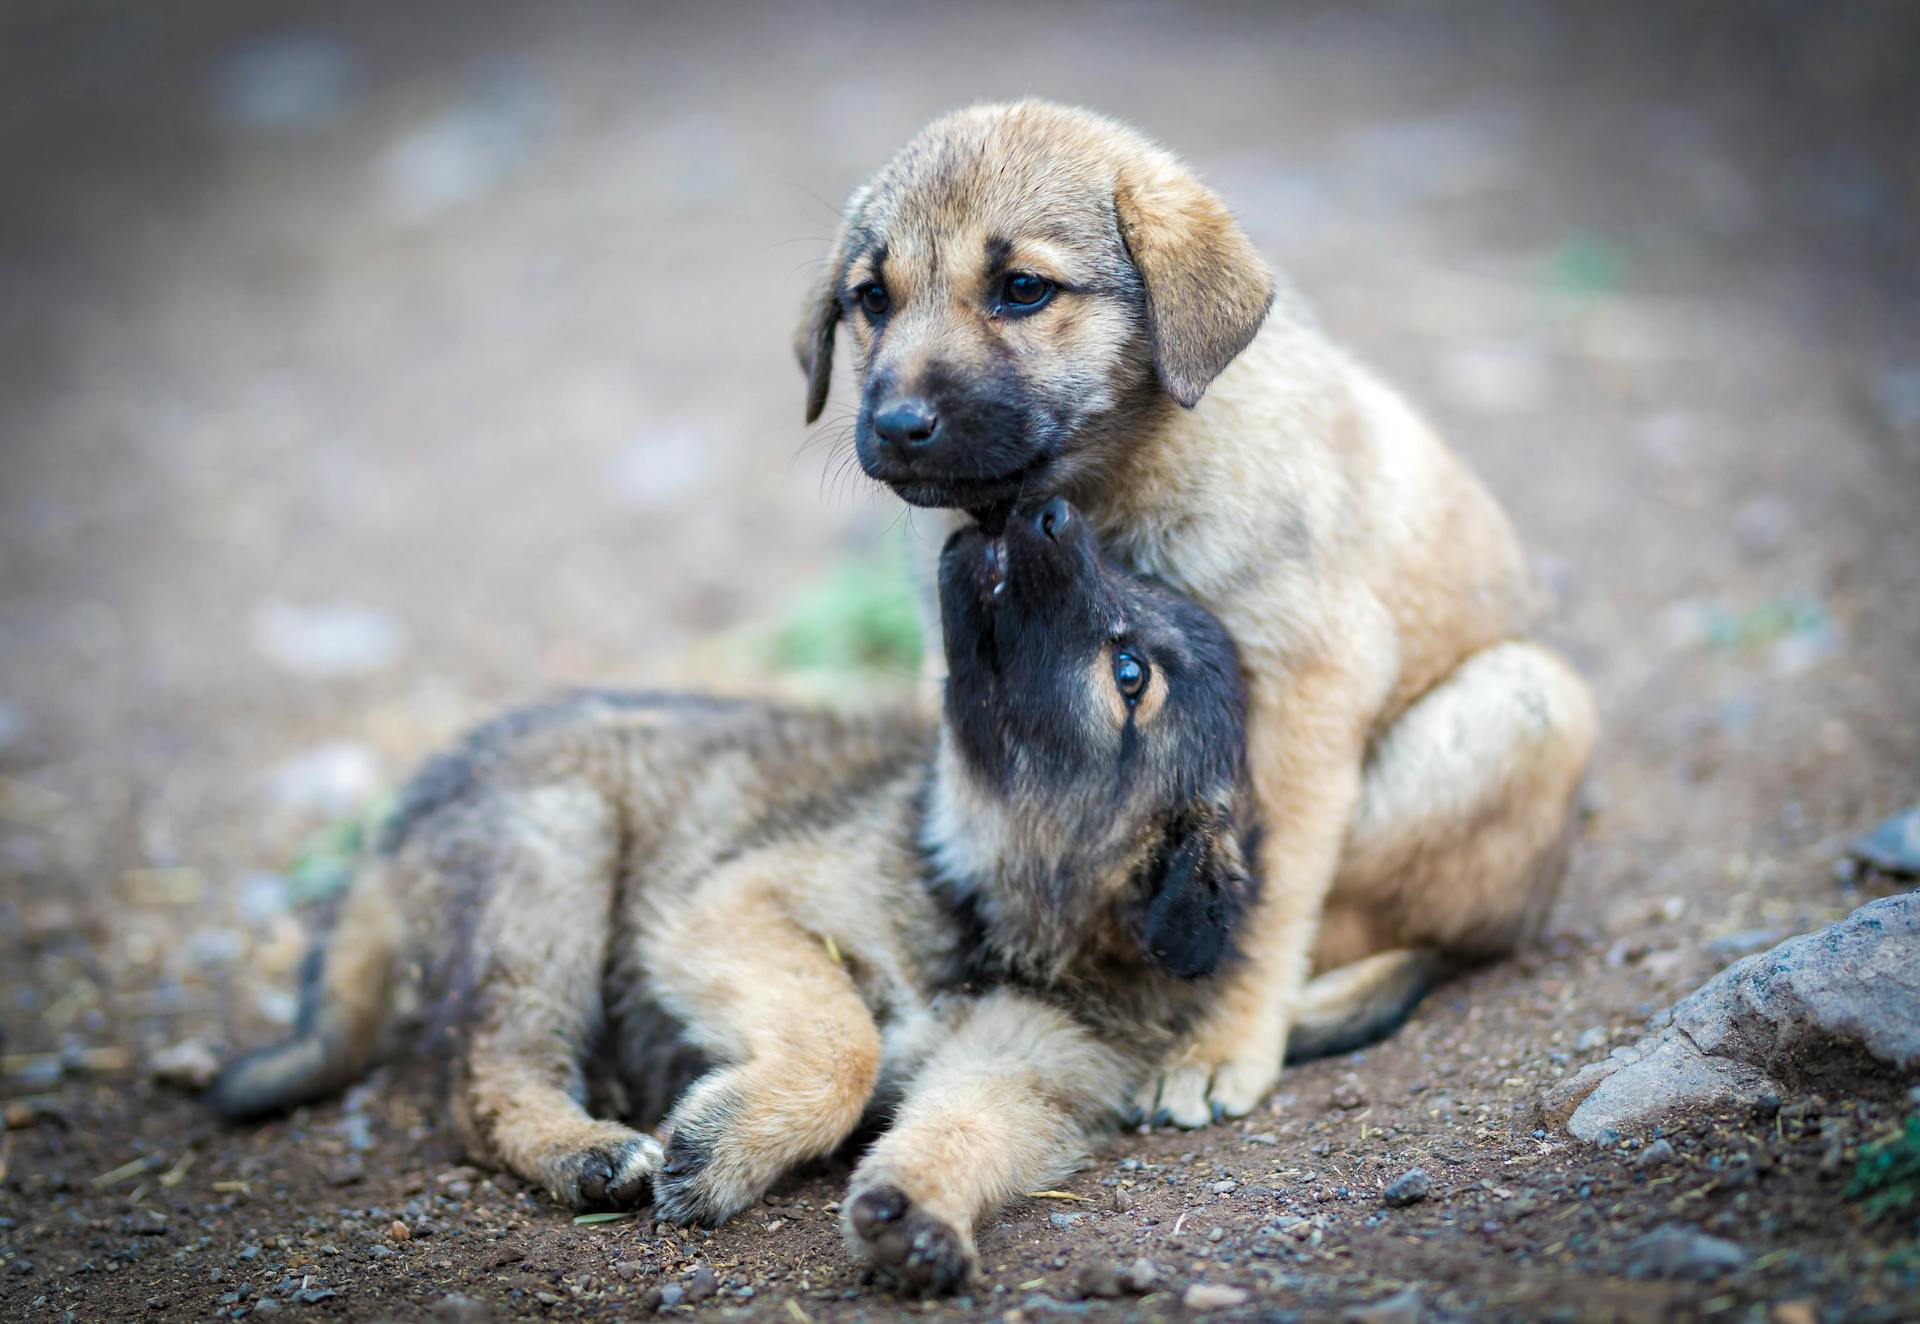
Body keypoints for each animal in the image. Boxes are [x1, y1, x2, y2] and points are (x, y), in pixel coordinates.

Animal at [210, 495, 1267, 1289]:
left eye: (1129, 673)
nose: (1047, 507)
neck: (986, 914)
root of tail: (398, 820)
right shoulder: (734, 902)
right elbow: (847, 1043)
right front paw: (722, 1150)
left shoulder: (1032, 1073)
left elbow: (965, 1128)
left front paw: (918, 1212)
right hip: (554, 859)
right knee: (488, 1080)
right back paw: (587, 1151)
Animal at [794, 97, 1605, 1120]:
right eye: (871, 300)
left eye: (1023, 289)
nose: (899, 427)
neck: (1117, 479)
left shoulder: (1309, 691)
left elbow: (1267, 896)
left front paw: (1223, 1046)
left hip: (1526, 703)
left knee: (1407, 933)